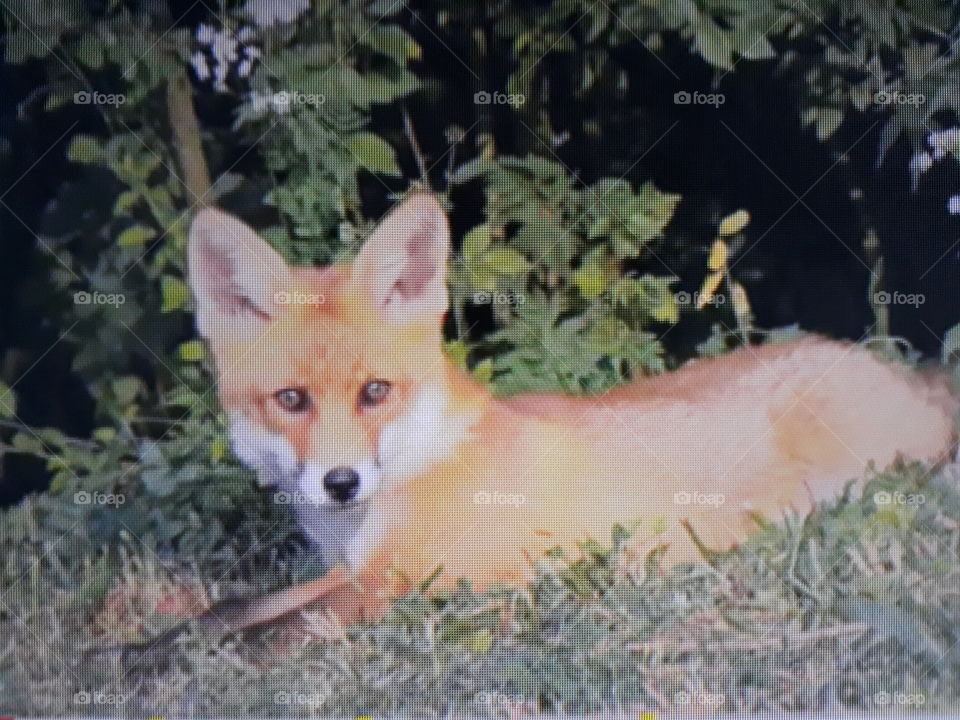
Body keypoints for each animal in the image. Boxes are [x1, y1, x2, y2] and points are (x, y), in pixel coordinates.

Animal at [187, 193, 957, 622]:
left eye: (375, 392)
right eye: (292, 400)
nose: (340, 483)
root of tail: (885, 363)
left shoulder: (422, 583)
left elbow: (275, 634)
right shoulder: (355, 573)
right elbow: (228, 612)